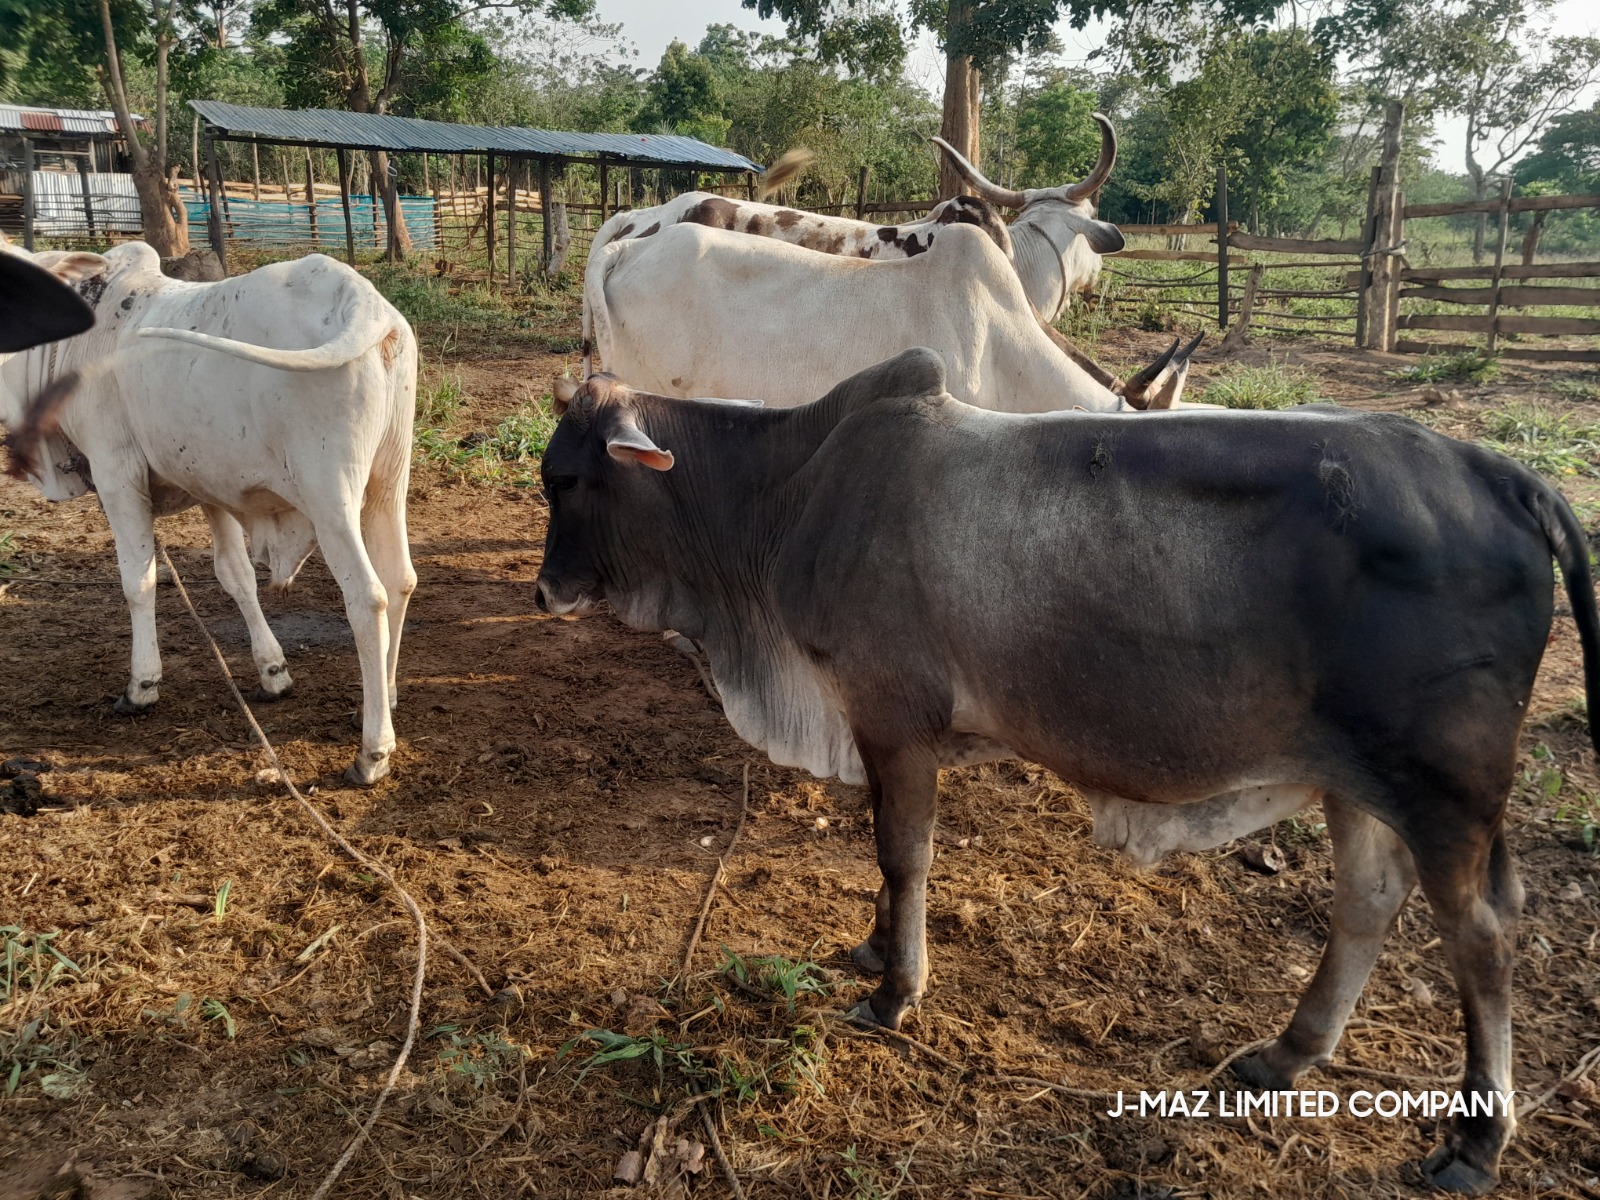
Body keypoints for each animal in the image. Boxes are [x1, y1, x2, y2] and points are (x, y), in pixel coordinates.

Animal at [1, 243, 417, 786]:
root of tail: (363, 301)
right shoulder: (209, 490)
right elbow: (235, 576)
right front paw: (272, 672)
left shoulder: (116, 473)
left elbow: (138, 582)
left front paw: (142, 685)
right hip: (388, 480)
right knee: (400, 579)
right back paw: (382, 699)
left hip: (331, 490)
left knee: (367, 599)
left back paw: (372, 752)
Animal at [532, 349, 1600, 1196]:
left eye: (570, 479)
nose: (545, 592)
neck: (791, 488)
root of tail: (1502, 473)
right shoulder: (879, 729)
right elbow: (887, 854)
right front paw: (875, 950)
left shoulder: (892, 716)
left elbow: (903, 854)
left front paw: (895, 991)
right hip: (1358, 779)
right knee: (1368, 900)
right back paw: (1287, 1053)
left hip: (1445, 787)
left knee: (1482, 937)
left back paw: (1476, 1140)